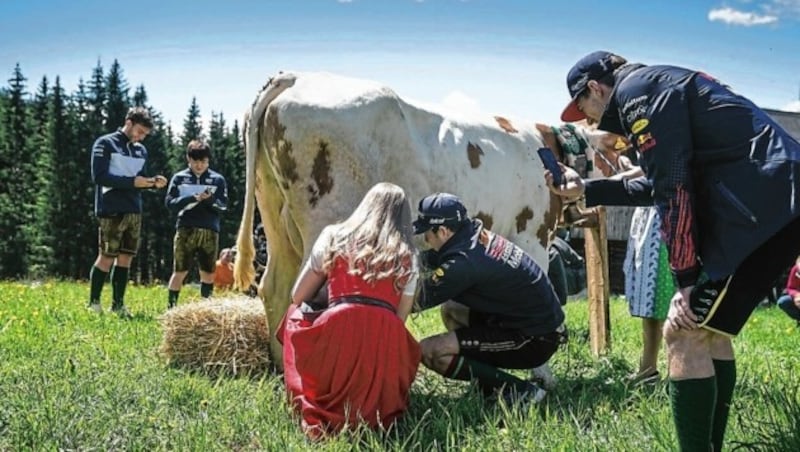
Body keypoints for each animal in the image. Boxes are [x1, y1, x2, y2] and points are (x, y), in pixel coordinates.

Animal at [234, 71, 628, 364]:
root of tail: (298, 76)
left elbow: (460, 308)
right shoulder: (532, 235)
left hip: (274, 218)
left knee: (275, 287)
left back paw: (280, 364)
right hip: (326, 220)